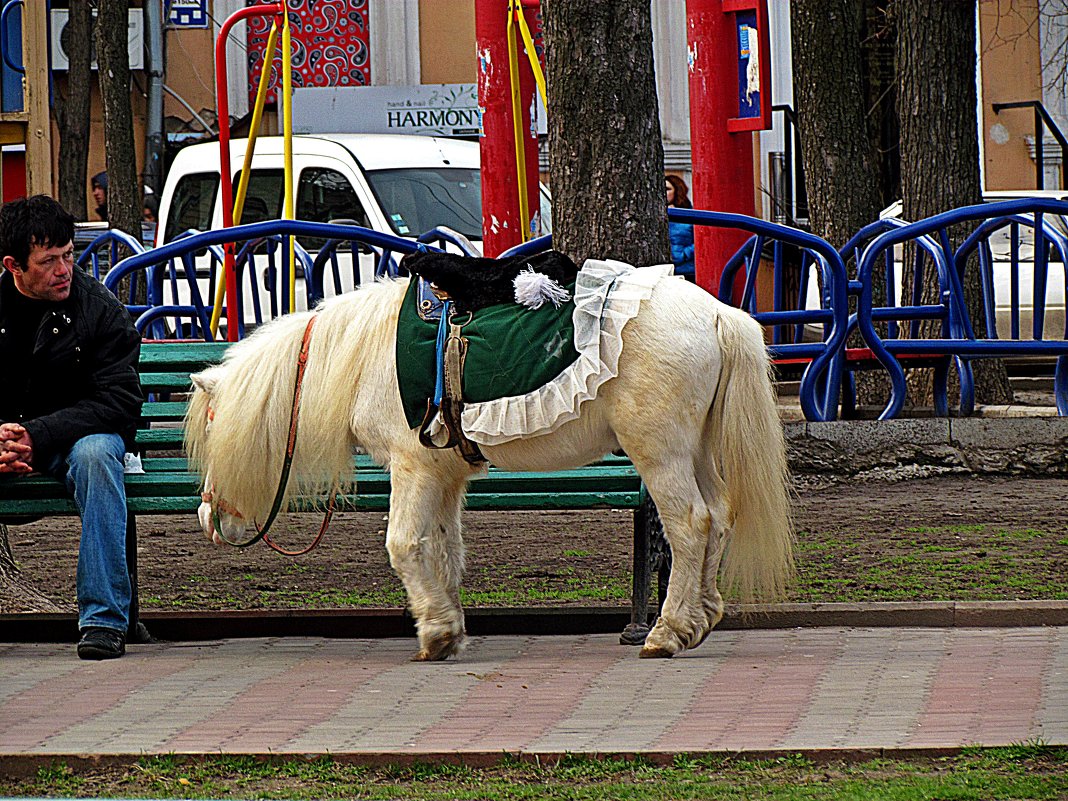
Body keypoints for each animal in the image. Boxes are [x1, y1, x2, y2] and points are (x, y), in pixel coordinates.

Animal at [187, 273, 794, 662]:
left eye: (213, 433)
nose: (209, 521)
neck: (362, 360)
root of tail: (716, 312)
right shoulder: (442, 476)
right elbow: (443, 549)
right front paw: (449, 627)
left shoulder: (411, 469)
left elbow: (403, 544)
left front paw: (434, 635)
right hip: (696, 450)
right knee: (719, 517)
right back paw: (700, 618)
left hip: (661, 452)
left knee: (690, 525)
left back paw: (666, 633)